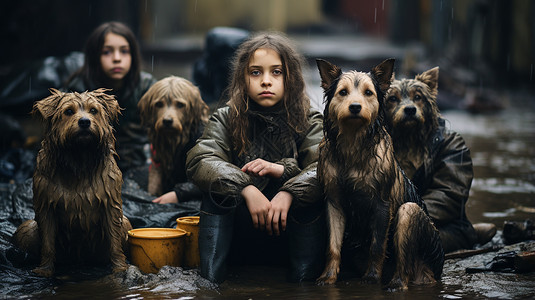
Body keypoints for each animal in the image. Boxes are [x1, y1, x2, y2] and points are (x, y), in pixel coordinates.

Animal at [12, 88, 132, 278]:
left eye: (93, 110)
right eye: (68, 111)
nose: (84, 122)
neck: (79, 158)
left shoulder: (109, 199)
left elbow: (114, 238)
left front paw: (120, 268)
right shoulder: (45, 202)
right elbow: (48, 242)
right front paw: (44, 270)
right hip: (28, 229)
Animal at [316, 59, 446, 290]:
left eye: (368, 92)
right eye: (343, 92)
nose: (355, 107)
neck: (353, 144)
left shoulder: (382, 203)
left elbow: (377, 246)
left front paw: (371, 278)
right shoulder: (334, 202)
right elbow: (332, 246)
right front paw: (328, 277)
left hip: (410, 214)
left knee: (405, 264)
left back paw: (396, 283)